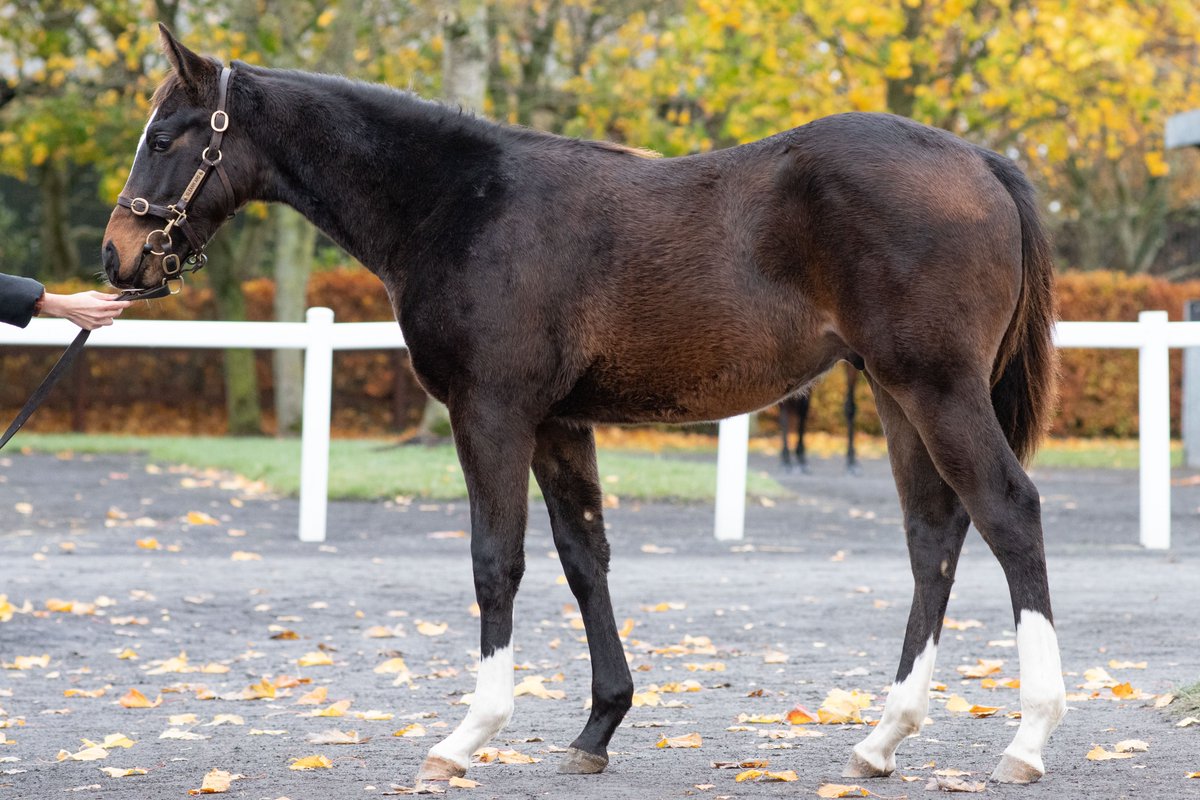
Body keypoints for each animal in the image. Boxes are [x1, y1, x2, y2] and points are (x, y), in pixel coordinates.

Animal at [102, 25, 1065, 787]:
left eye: (166, 136)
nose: (118, 257)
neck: (459, 204)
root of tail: (981, 161)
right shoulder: (560, 421)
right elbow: (583, 559)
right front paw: (599, 725)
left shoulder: (491, 413)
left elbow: (497, 563)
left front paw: (466, 737)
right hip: (899, 396)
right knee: (934, 539)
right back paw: (881, 739)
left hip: (935, 388)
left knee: (1009, 512)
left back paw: (1027, 740)